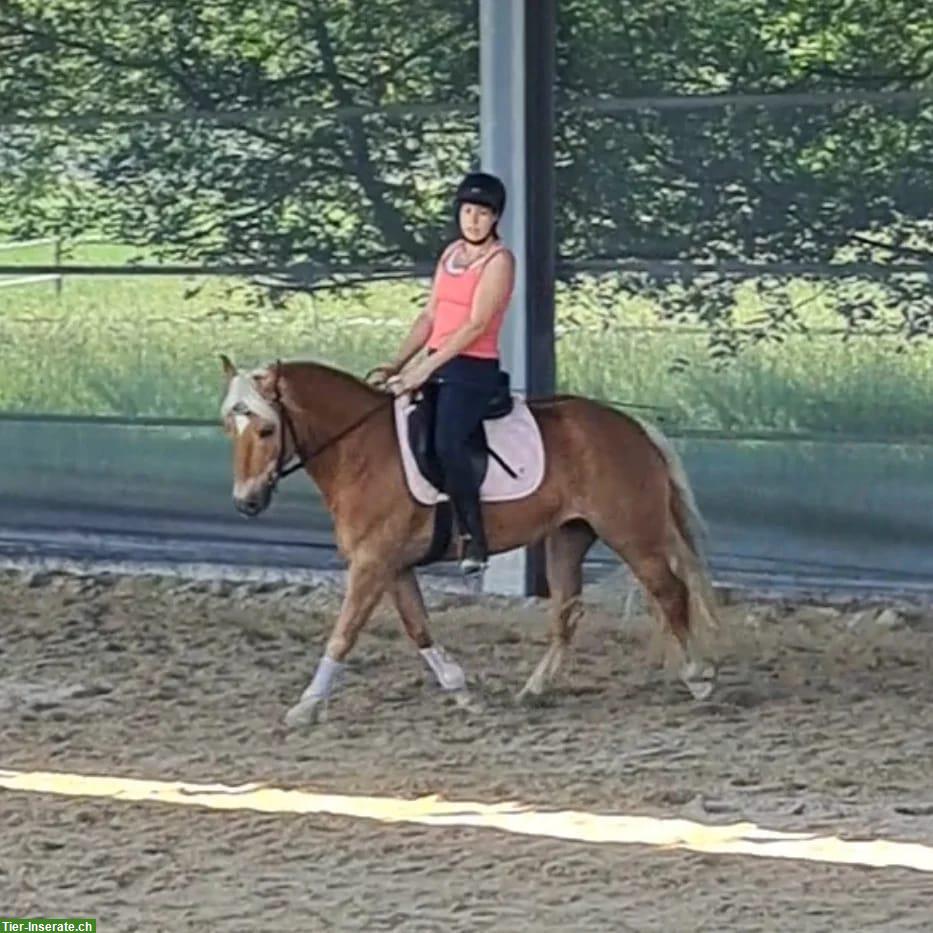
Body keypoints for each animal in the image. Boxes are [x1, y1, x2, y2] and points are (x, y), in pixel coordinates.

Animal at [218, 354, 720, 724]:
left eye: (266, 429)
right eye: (229, 428)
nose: (245, 502)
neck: (360, 450)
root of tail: (634, 429)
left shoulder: (371, 563)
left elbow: (344, 633)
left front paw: (305, 706)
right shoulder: (392, 565)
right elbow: (418, 628)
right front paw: (462, 691)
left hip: (632, 533)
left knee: (670, 592)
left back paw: (699, 676)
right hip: (569, 536)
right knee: (567, 611)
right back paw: (533, 690)